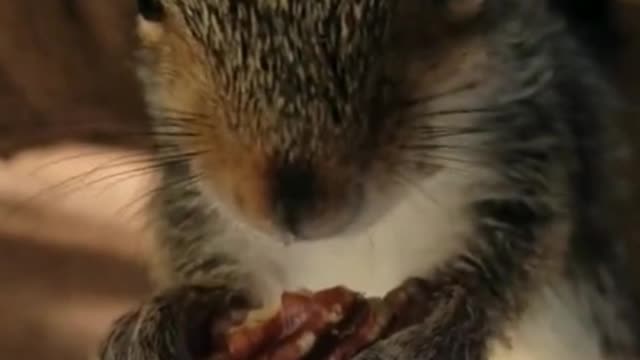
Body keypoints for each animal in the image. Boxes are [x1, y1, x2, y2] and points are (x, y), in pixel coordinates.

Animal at [97, 0, 636, 360]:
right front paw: (165, 317)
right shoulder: (194, 203)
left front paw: (438, 325)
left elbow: (522, 248)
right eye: (147, 3)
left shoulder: (532, 149)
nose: (289, 204)